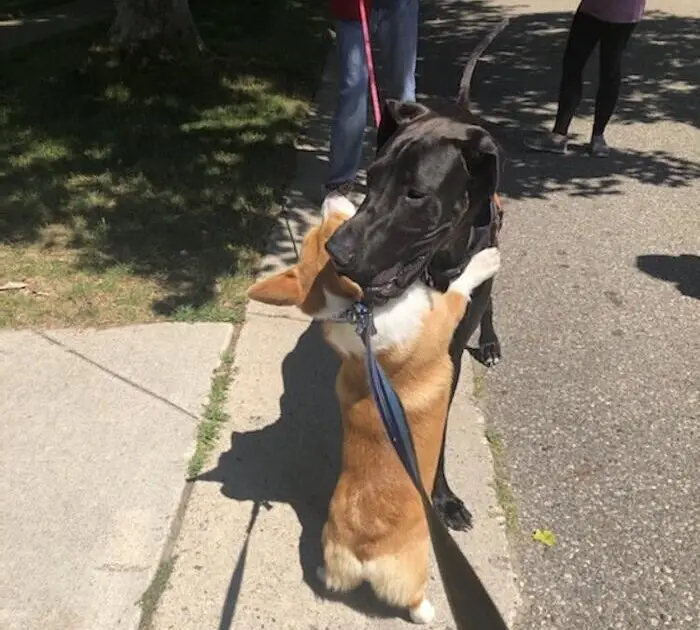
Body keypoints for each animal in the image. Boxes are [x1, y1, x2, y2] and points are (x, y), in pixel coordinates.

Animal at [326, 21, 506, 532]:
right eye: (371, 177)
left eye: (415, 194)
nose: (336, 252)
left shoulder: (447, 357)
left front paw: (440, 497)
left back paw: (490, 341)